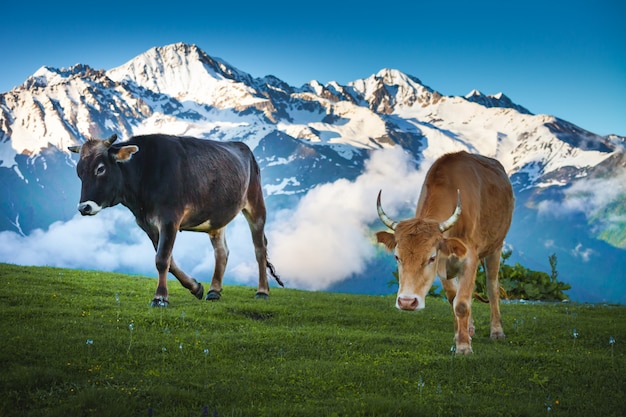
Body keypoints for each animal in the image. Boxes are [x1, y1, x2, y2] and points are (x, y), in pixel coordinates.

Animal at [69, 133, 282, 306]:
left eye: (100, 169)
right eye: (79, 172)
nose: (84, 207)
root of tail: (242, 146)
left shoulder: (170, 218)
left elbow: (162, 259)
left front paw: (160, 298)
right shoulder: (147, 224)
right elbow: (169, 261)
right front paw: (196, 287)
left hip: (256, 203)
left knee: (259, 249)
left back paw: (262, 292)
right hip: (217, 217)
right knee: (222, 252)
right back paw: (214, 291)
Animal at [376, 151, 512, 352]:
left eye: (431, 258)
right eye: (397, 257)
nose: (407, 302)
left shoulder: (469, 257)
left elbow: (461, 303)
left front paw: (464, 347)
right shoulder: (444, 265)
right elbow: (453, 298)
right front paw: (460, 336)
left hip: (496, 246)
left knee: (492, 287)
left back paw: (497, 331)